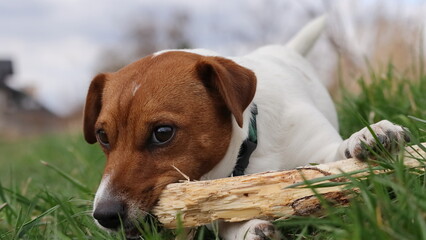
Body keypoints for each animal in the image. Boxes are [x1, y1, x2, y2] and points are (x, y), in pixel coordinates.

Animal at [84, 15, 410, 239]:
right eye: (102, 136)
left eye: (162, 133)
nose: (105, 215)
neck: (249, 151)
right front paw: (249, 228)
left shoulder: (316, 145)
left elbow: (336, 156)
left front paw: (368, 135)